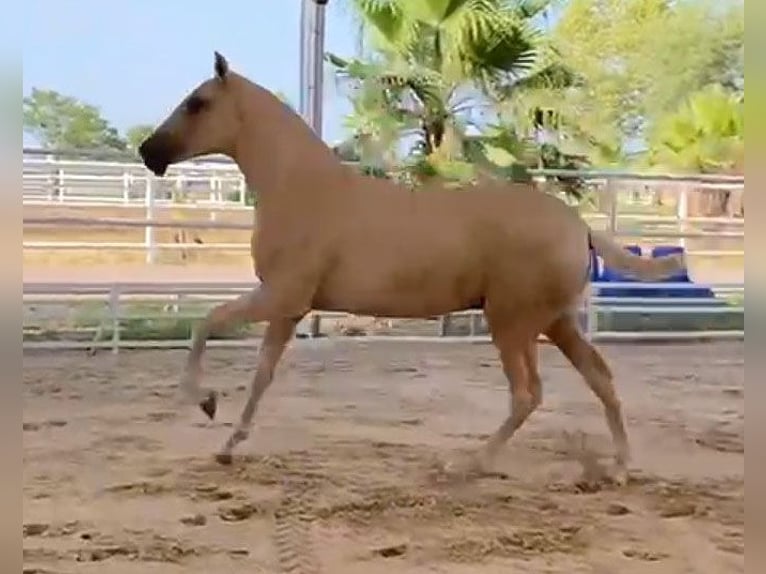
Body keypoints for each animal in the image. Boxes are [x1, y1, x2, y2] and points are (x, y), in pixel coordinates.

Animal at [138, 55, 684, 486]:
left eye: (198, 102)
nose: (149, 152)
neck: (301, 189)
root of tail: (580, 226)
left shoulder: (280, 297)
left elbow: (205, 324)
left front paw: (205, 401)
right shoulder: (289, 310)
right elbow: (261, 376)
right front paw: (228, 445)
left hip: (513, 323)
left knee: (528, 394)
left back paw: (469, 464)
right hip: (555, 322)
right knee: (599, 378)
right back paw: (617, 469)